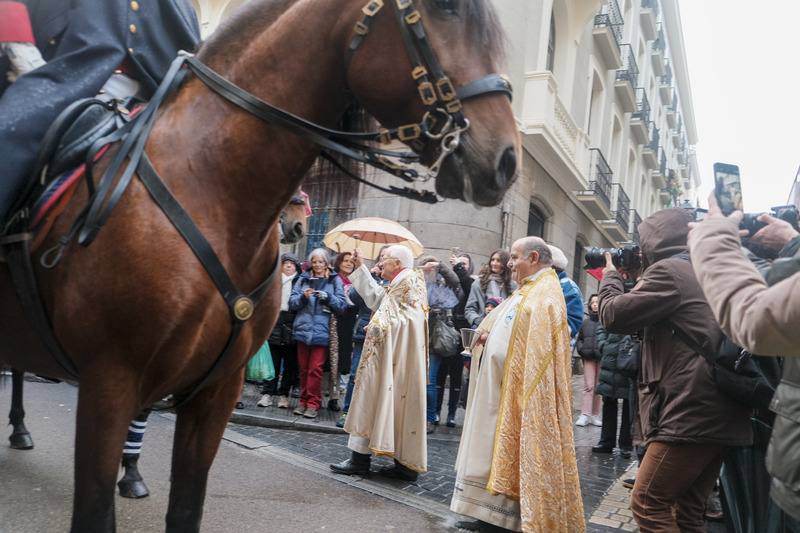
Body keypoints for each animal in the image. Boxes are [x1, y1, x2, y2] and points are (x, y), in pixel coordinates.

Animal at [0, 1, 519, 531]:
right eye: (445, 9)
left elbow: (185, 505)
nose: (505, 159)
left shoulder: (214, 391)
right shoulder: (110, 382)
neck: (211, 190)